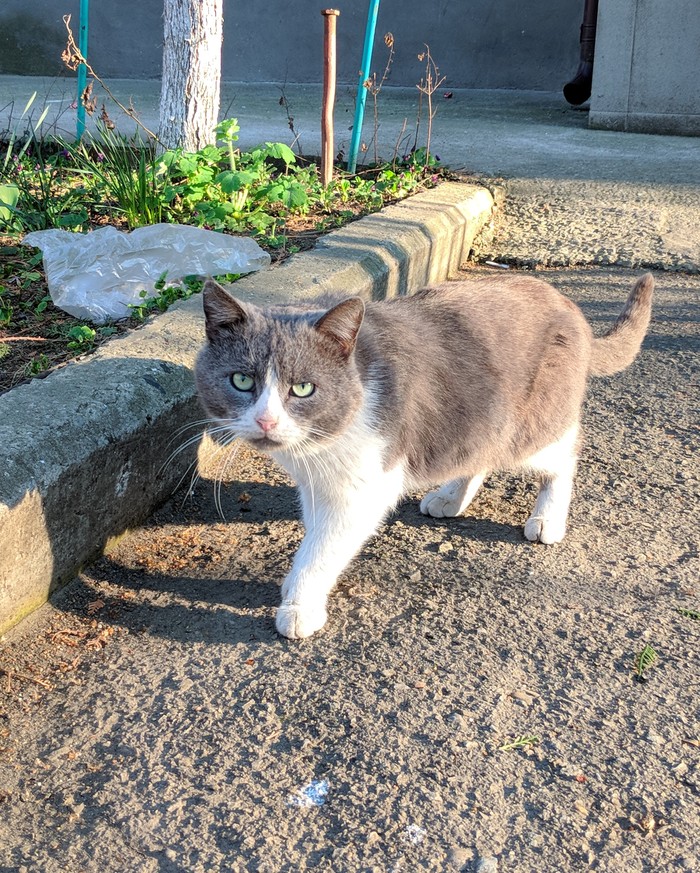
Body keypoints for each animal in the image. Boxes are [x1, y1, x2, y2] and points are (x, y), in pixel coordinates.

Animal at [194, 276, 652, 636]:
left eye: (303, 388)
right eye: (241, 380)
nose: (266, 420)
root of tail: (569, 306)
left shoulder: (367, 482)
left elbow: (325, 545)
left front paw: (300, 604)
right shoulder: (316, 480)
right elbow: (313, 530)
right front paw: (296, 582)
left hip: (532, 428)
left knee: (564, 454)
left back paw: (548, 517)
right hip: (478, 419)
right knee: (477, 453)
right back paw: (450, 496)